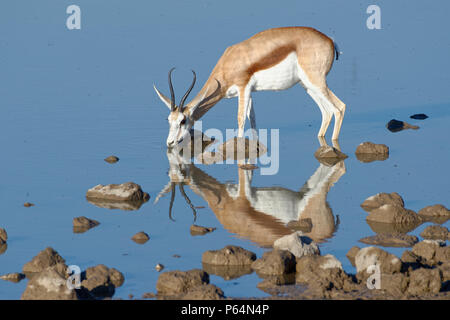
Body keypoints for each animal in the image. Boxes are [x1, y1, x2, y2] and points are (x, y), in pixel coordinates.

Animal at [155, 27, 344, 148]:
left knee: (339, 108)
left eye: (183, 120)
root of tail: (330, 41)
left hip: (316, 82)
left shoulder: (243, 87)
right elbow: (252, 119)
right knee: (327, 111)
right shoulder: (250, 92)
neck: (229, 62)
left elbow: (241, 119)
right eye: (168, 120)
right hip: (308, 86)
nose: (169, 143)